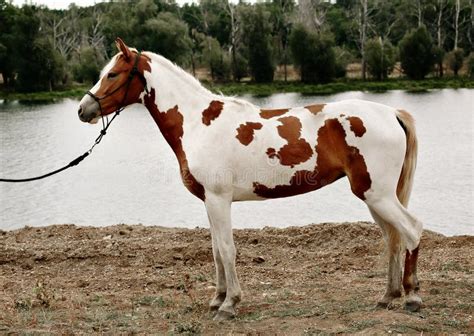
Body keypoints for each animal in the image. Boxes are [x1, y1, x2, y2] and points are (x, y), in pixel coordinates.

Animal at [79, 39, 424, 320]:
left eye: (113, 74)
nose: (84, 110)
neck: (199, 123)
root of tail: (392, 113)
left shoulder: (219, 199)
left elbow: (227, 249)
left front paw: (229, 304)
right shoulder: (209, 201)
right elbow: (216, 250)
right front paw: (217, 299)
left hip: (378, 194)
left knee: (411, 230)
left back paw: (412, 297)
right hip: (373, 196)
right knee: (392, 238)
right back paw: (388, 296)